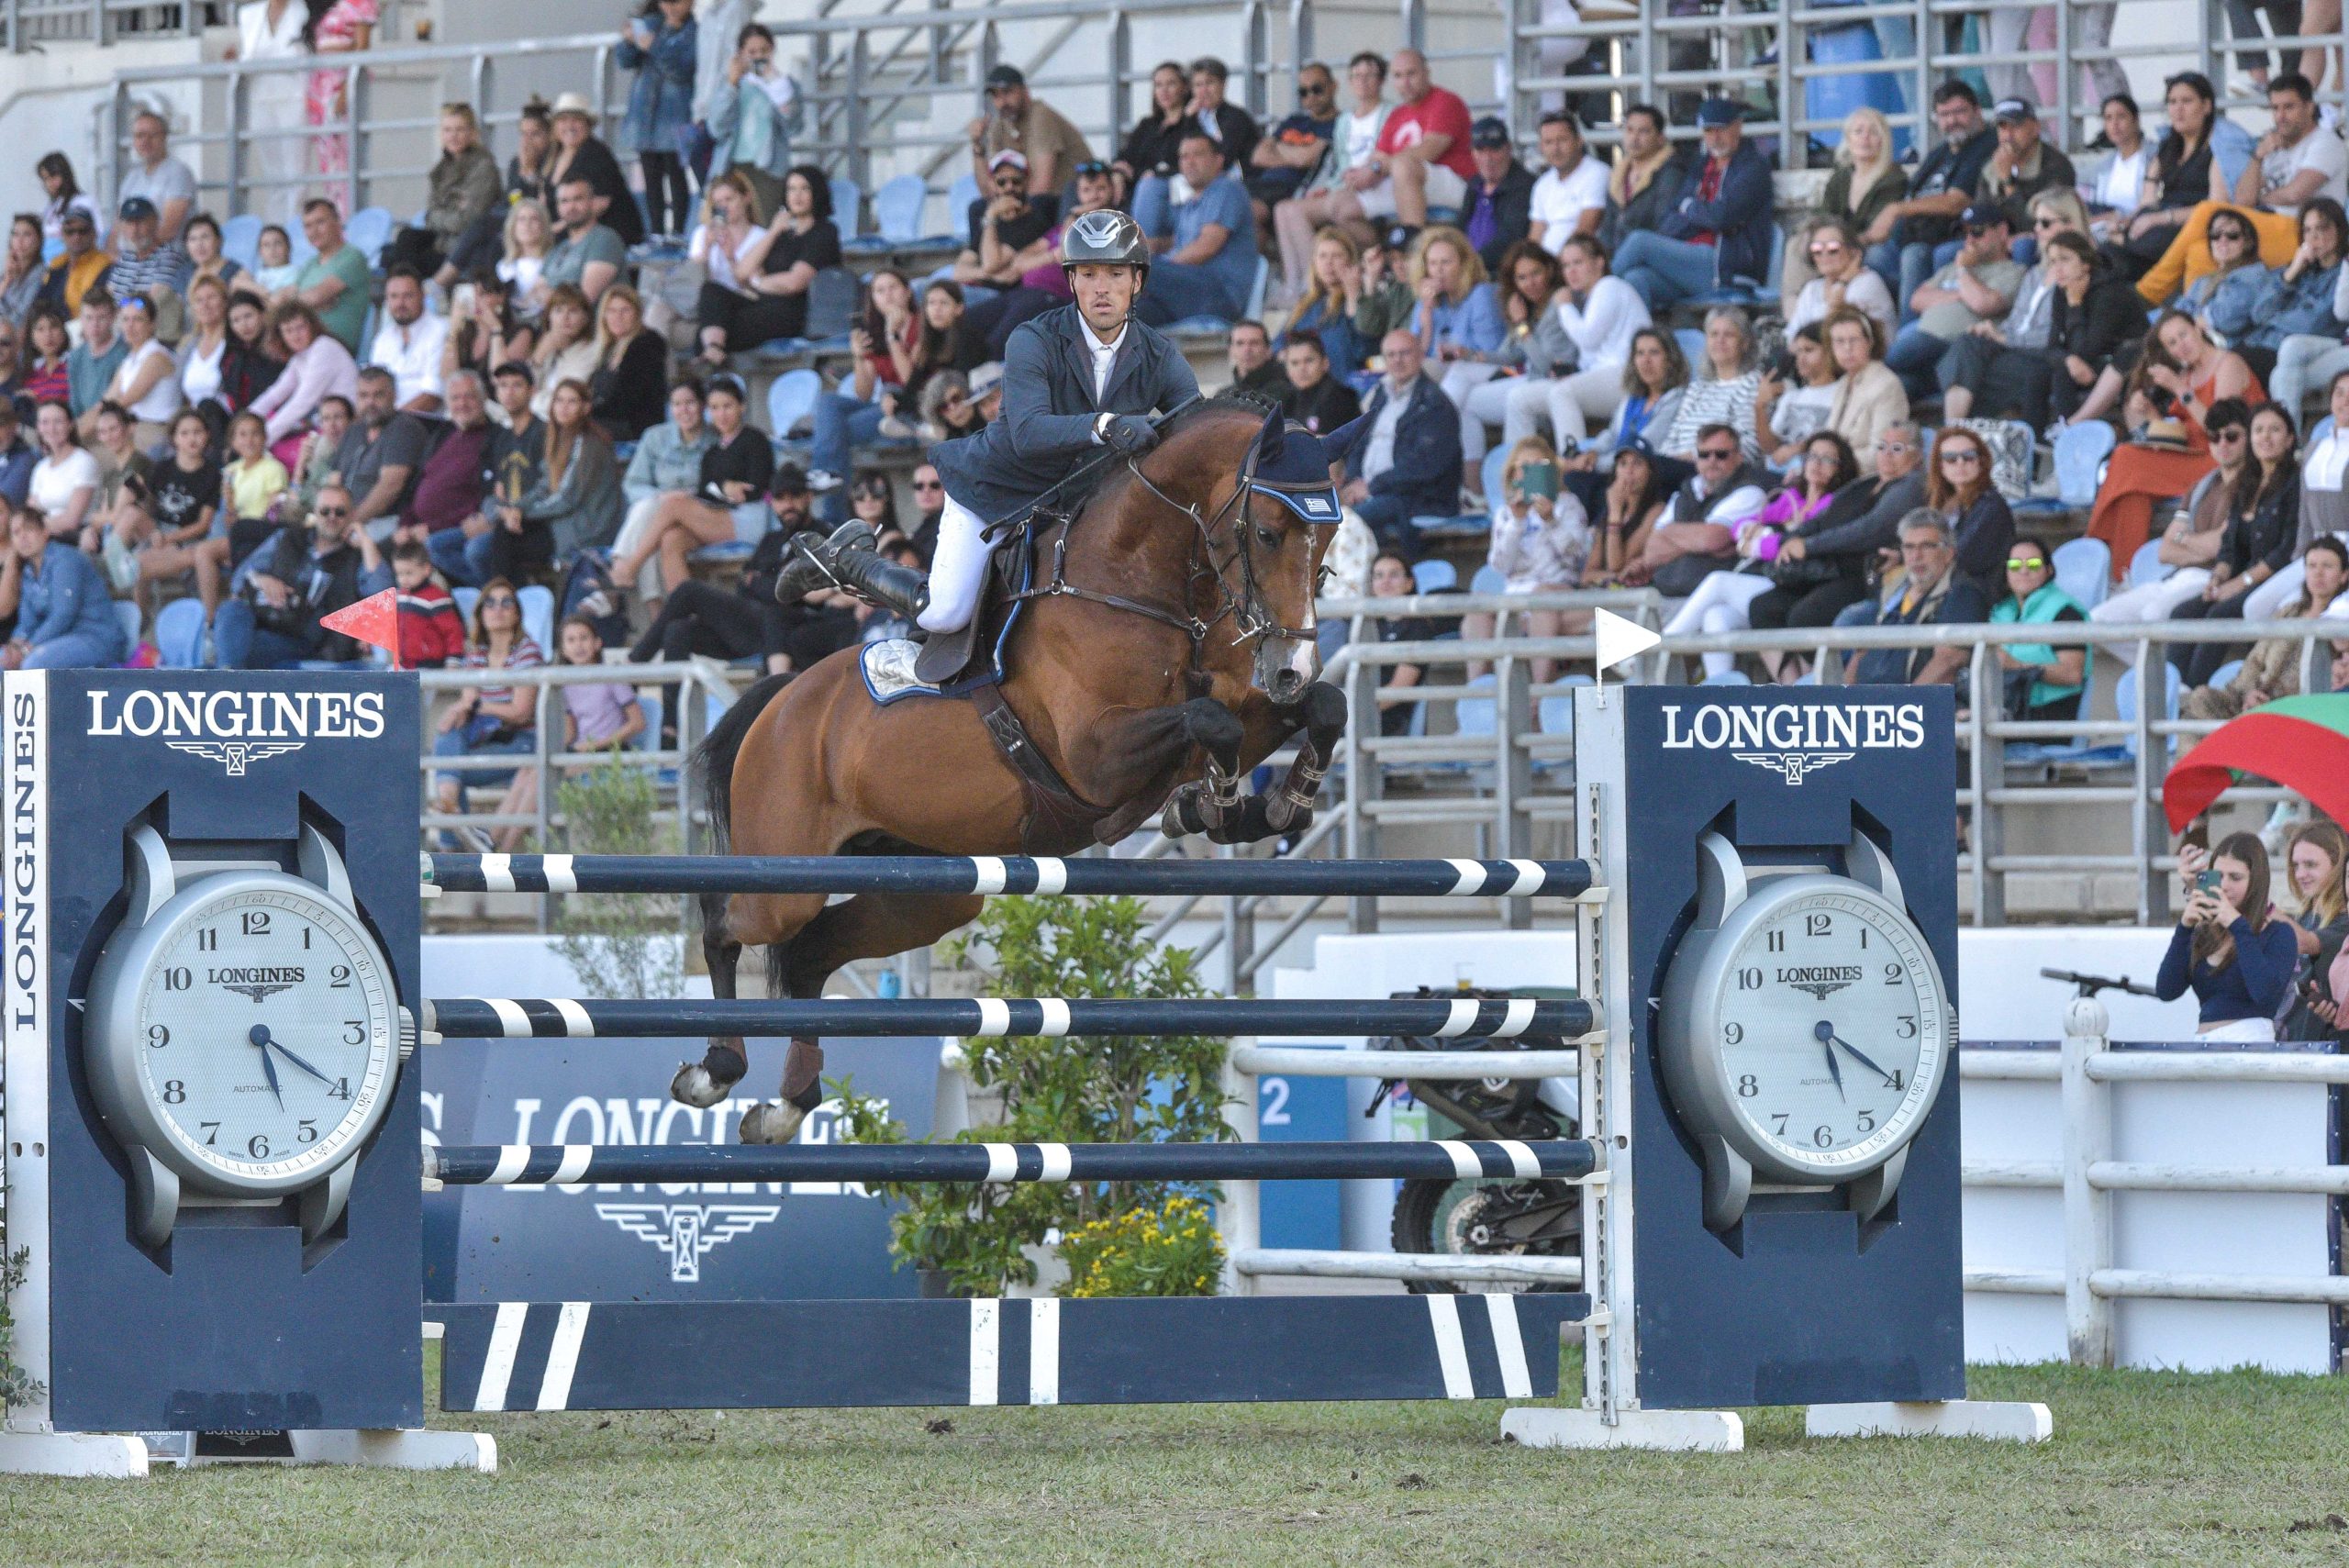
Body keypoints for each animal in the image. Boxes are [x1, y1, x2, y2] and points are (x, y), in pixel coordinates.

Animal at [672, 401, 1353, 1140]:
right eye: (1267, 531)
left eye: (1328, 544)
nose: (1290, 666)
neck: (1137, 585)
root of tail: (781, 700)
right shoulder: (1095, 756)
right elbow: (1210, 722)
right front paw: (1220, 804)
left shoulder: (1239, 701)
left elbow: (1317, 707)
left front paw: (1268, 803)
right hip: (785, 876)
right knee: (725, 923)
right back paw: (714, 1070)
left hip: (926, 890)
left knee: (810, 952)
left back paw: (786, 1106)